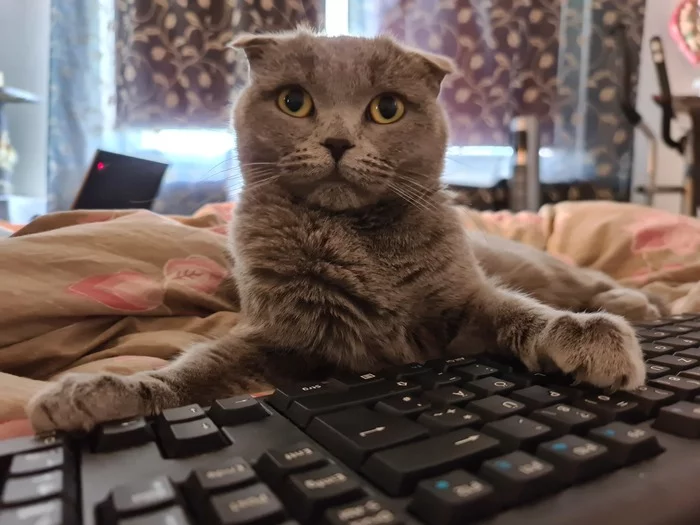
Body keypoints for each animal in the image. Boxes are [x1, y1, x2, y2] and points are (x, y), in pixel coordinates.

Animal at [27, 29, 652, 430]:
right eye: (294, 101)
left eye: (387, 109)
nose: (336, 141)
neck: (353, 239)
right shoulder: (283, 337)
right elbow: (200, 366)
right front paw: (105, 393)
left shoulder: (465, 301)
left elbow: (518, 309)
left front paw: (590, 337)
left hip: (531, 262)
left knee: (578, 278)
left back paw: (634, 303)